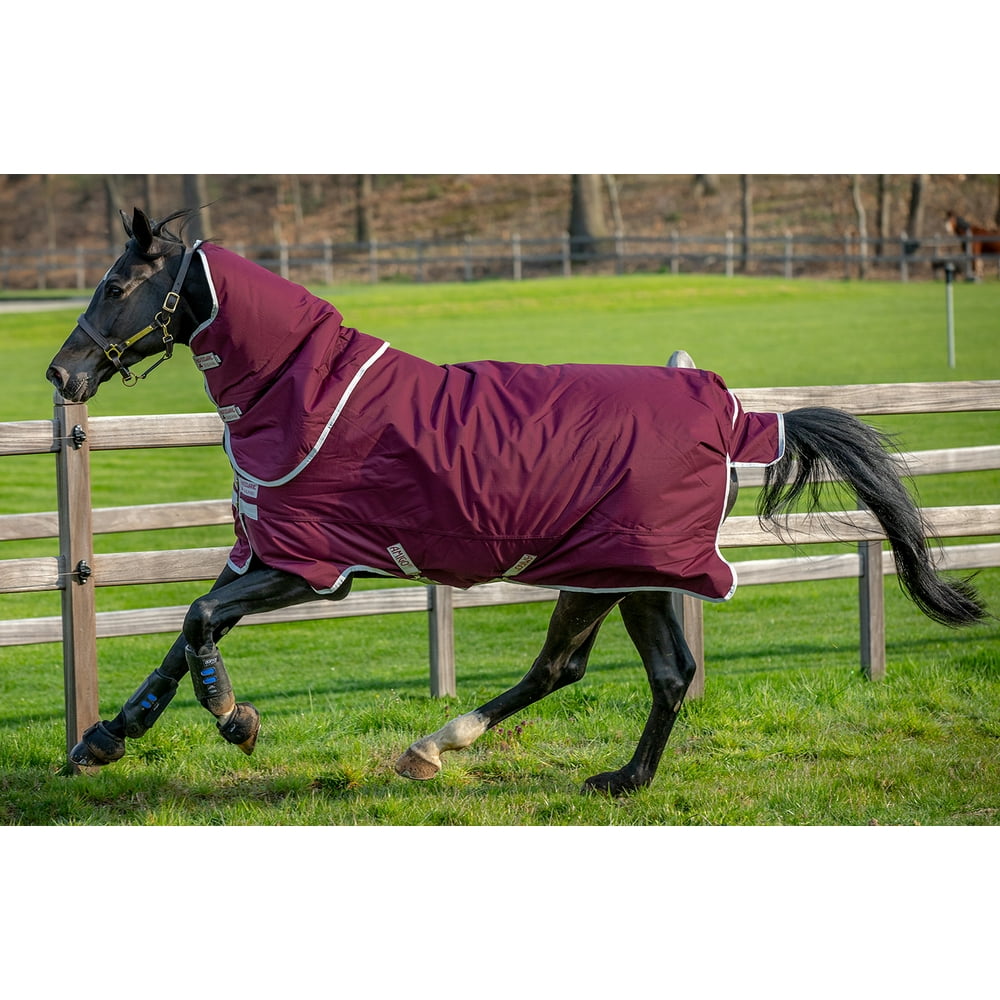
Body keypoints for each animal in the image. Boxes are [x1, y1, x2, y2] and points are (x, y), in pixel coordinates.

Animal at [46, 208, 987, 797]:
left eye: (118, 285)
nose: (63, 373)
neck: (303, 392)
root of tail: (739, 417)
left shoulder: (312, 565)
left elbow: (199, 620)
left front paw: (234, 719)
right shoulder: (265, 552)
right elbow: (182, 632)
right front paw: (104, 738)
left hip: (614, 569)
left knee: (589, 669)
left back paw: (458, 751)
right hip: (626, 575)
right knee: (637, 672)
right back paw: (587, 773)